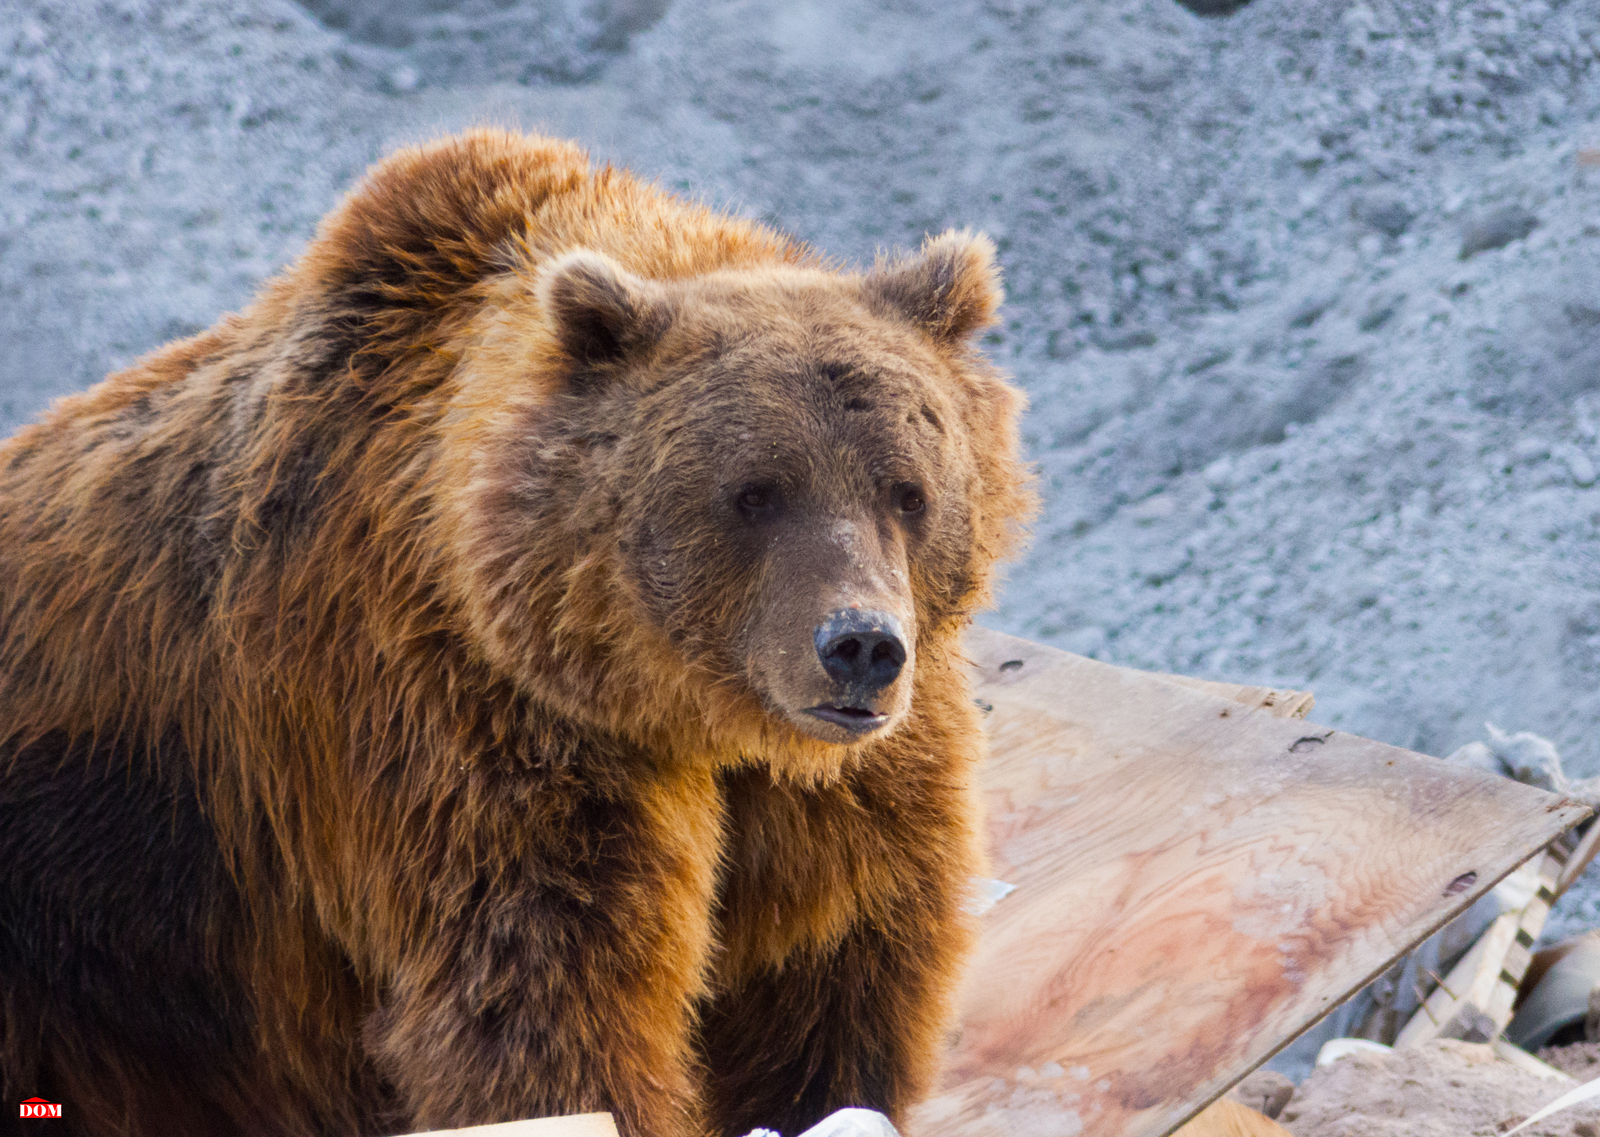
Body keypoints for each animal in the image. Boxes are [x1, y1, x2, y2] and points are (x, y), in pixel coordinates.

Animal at [0, 131, 1024, 1137]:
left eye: (908, 490)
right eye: (755, 492)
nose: (859, 645)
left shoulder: (838, 790)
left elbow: (831, 969)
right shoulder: (460, 719)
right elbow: (544, 990)